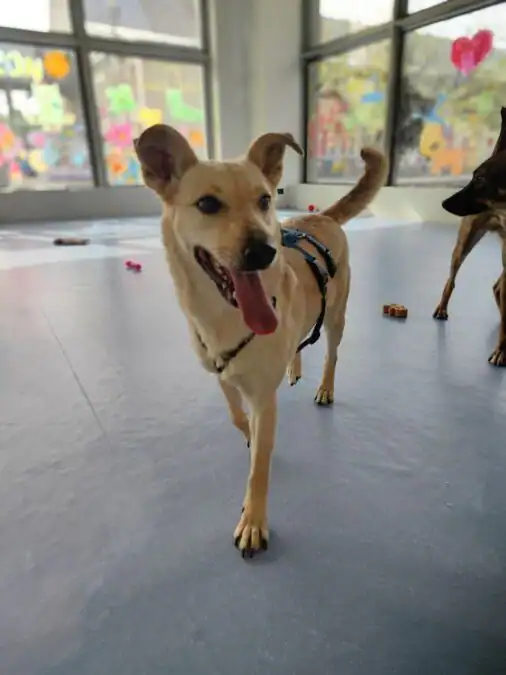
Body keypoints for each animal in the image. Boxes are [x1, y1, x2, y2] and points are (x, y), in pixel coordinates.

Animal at [134, 124, 387, 557]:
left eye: (265, 200)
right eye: (207, 203)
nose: (264, 252)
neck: (223, 318)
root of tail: (325, 216)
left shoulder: (263, 398)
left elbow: (259, 471)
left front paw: (253, 521)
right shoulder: (222, 376)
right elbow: (238, 417)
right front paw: (250, 436)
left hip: (336, 318)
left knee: (331, 354)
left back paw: (325, 386)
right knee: (301, 340)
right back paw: (293, 366)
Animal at [433, 108, 506, 367]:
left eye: (480, 180)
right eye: (474, 177)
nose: (444, 203)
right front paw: (501, 351)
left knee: (498, 287)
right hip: (464, 244)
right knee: (451, 280)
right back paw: (442, 308)